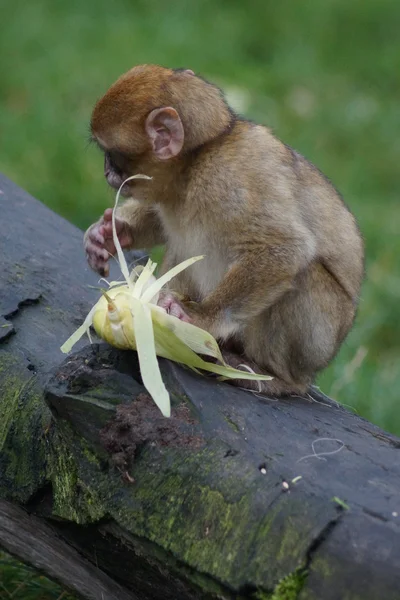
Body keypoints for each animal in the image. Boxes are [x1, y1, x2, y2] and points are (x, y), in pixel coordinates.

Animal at [85, 64, 366, 398]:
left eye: (111, 153)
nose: (105, 171)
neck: (196, 162)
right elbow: (158, 220)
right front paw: (110, 234)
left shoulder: (229, 179)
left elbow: (285, 248)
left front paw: (202, 318)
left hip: (317, 344)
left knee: (306, 274)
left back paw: (272, 376)